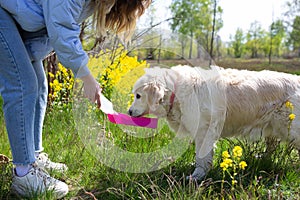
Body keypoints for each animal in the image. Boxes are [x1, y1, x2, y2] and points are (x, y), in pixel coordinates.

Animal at [127, 65, 300, 180]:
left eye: (138, 96)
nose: (129, 111)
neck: (176, 91)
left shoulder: (204, 131)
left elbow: (202, 157)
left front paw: (197, 176)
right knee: (271, 145)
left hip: (291, 128)